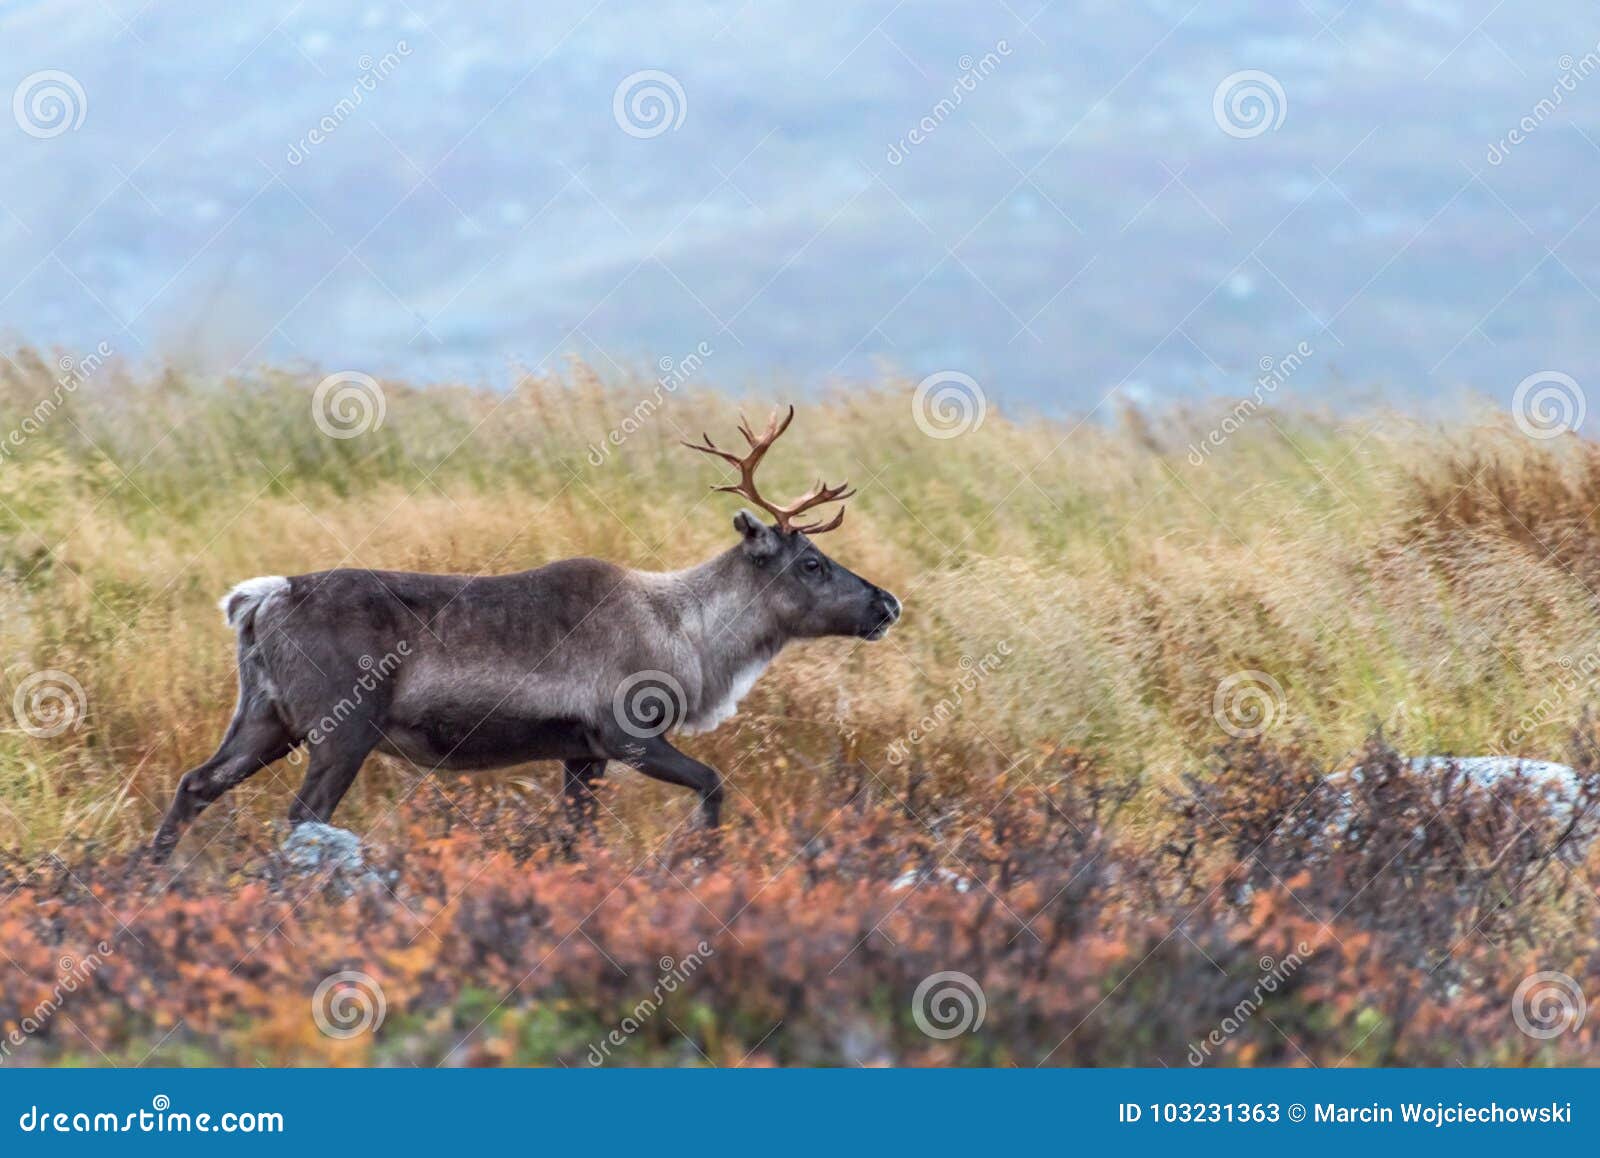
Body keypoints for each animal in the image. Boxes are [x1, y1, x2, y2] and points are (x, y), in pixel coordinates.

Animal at [151, 406, 901, 861]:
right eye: (811, 562)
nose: (888, 603)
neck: (688, 636)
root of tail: (259, 598)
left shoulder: (581, 753)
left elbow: (574, 838)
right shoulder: (628, 735)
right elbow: (714, 786)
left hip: (266, 717)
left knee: (195, 783)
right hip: (341, 729)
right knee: (299, 816)